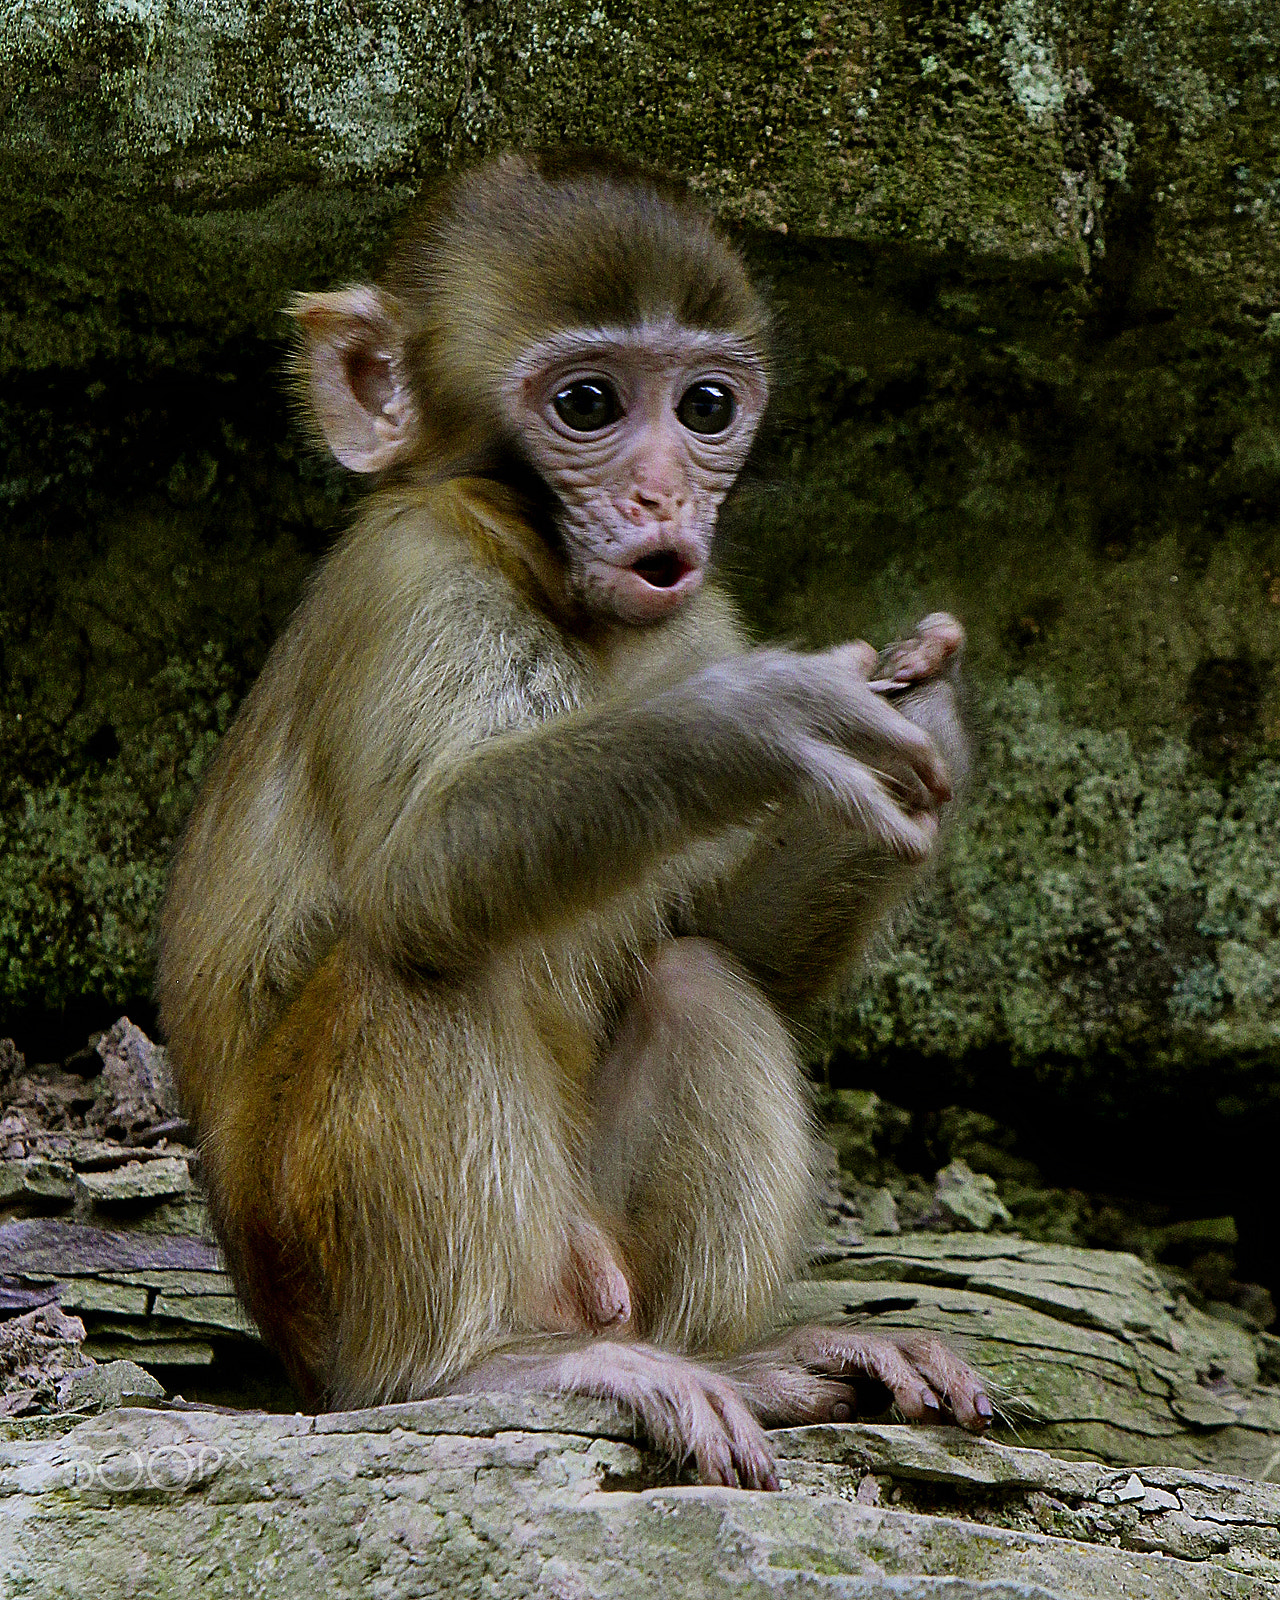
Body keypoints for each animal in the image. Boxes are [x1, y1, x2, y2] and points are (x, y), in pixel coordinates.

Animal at [156, 151, 992, 1491]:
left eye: (706, 406)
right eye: (589, 403)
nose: (663, 494)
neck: (548, 579)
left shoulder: (699, 613)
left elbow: (734, 943)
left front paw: (929, 719)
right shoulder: (413, 576)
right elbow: (419, 869)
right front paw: (752, 720)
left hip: (598, 1251)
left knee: (697, 980)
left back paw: (740, 1362)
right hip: (330, 1286)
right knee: (410, 957)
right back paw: (465, 1371)